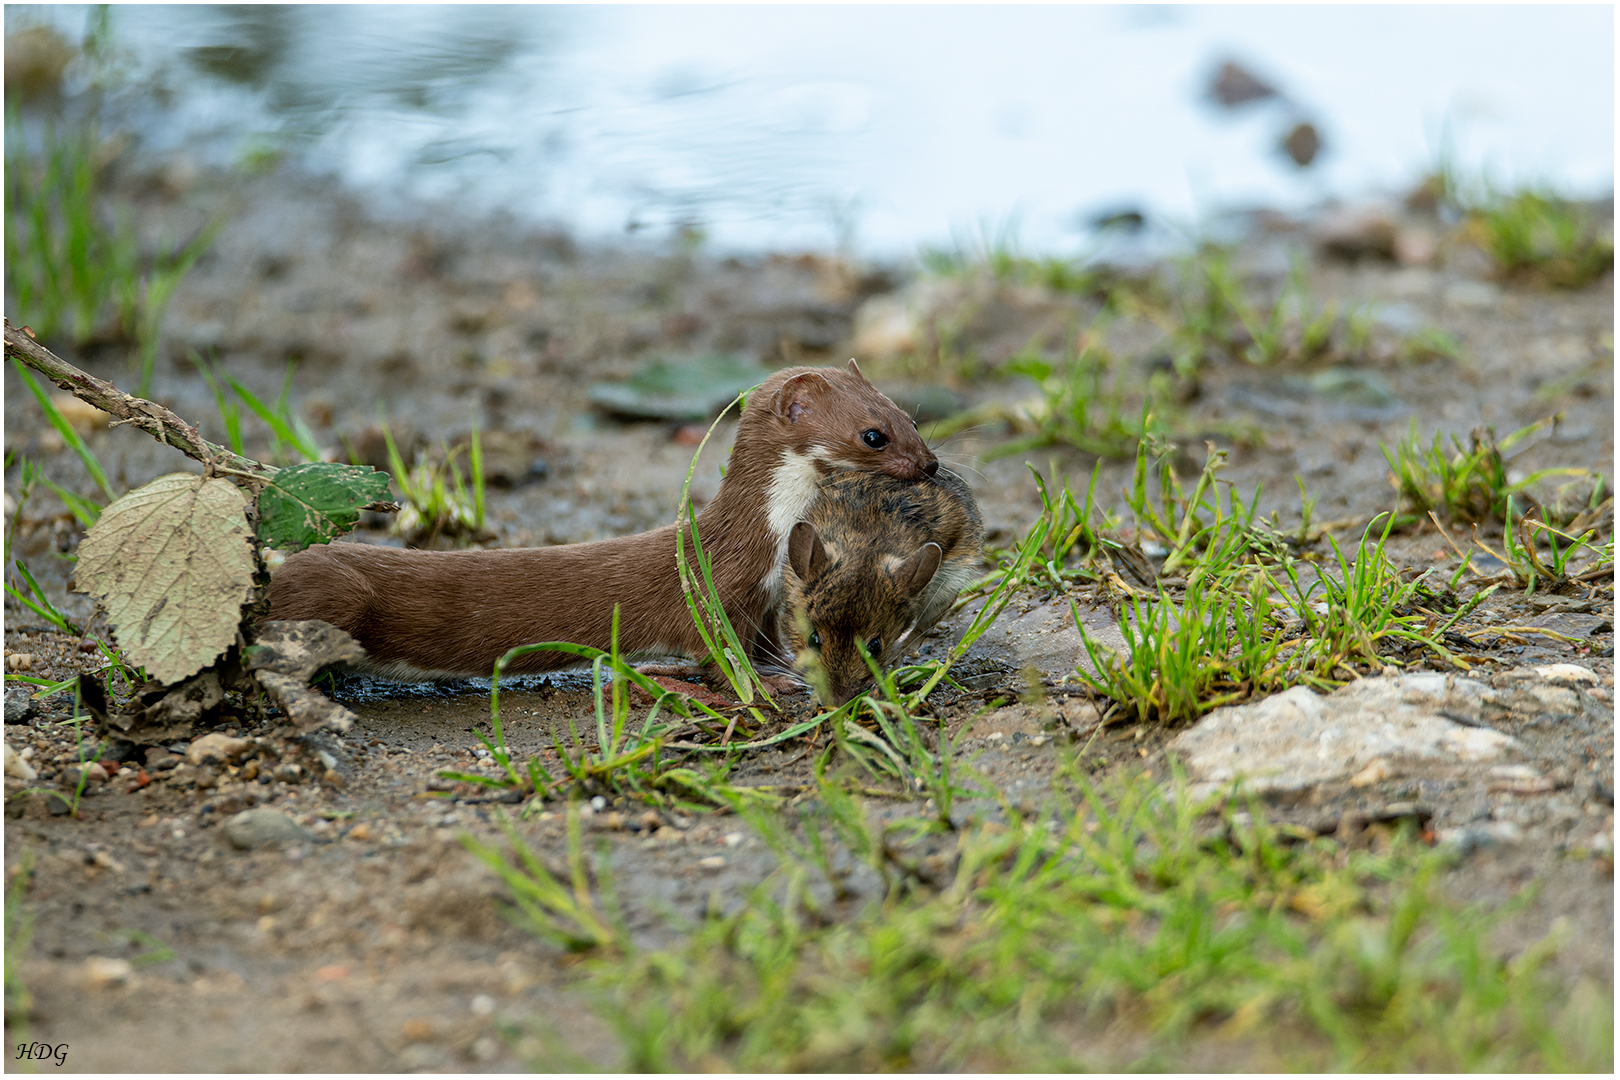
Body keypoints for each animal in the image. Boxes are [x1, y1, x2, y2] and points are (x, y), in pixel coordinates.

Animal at [265, 359, 939, 680]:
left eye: (909, 414)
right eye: (873, 434)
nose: (930, 464)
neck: (769, 542)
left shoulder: (771, 597)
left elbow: (768, 642)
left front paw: (783, 670)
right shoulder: (719, 588)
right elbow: (718, 650)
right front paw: (769, 684)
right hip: (336, 593)